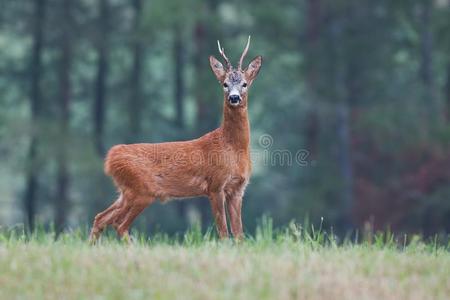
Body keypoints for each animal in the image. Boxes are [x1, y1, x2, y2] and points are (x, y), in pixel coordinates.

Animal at [89, 36, 262, 243]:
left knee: (101, 218)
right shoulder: (215, 185)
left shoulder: (237, 189)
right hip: (142, 190)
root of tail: (111, 158)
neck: (232, 148)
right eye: (225, 84)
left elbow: (239, 234)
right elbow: (223, 232)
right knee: (119, 224)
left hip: (126, 191)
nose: (234, 98)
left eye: (244, 84)